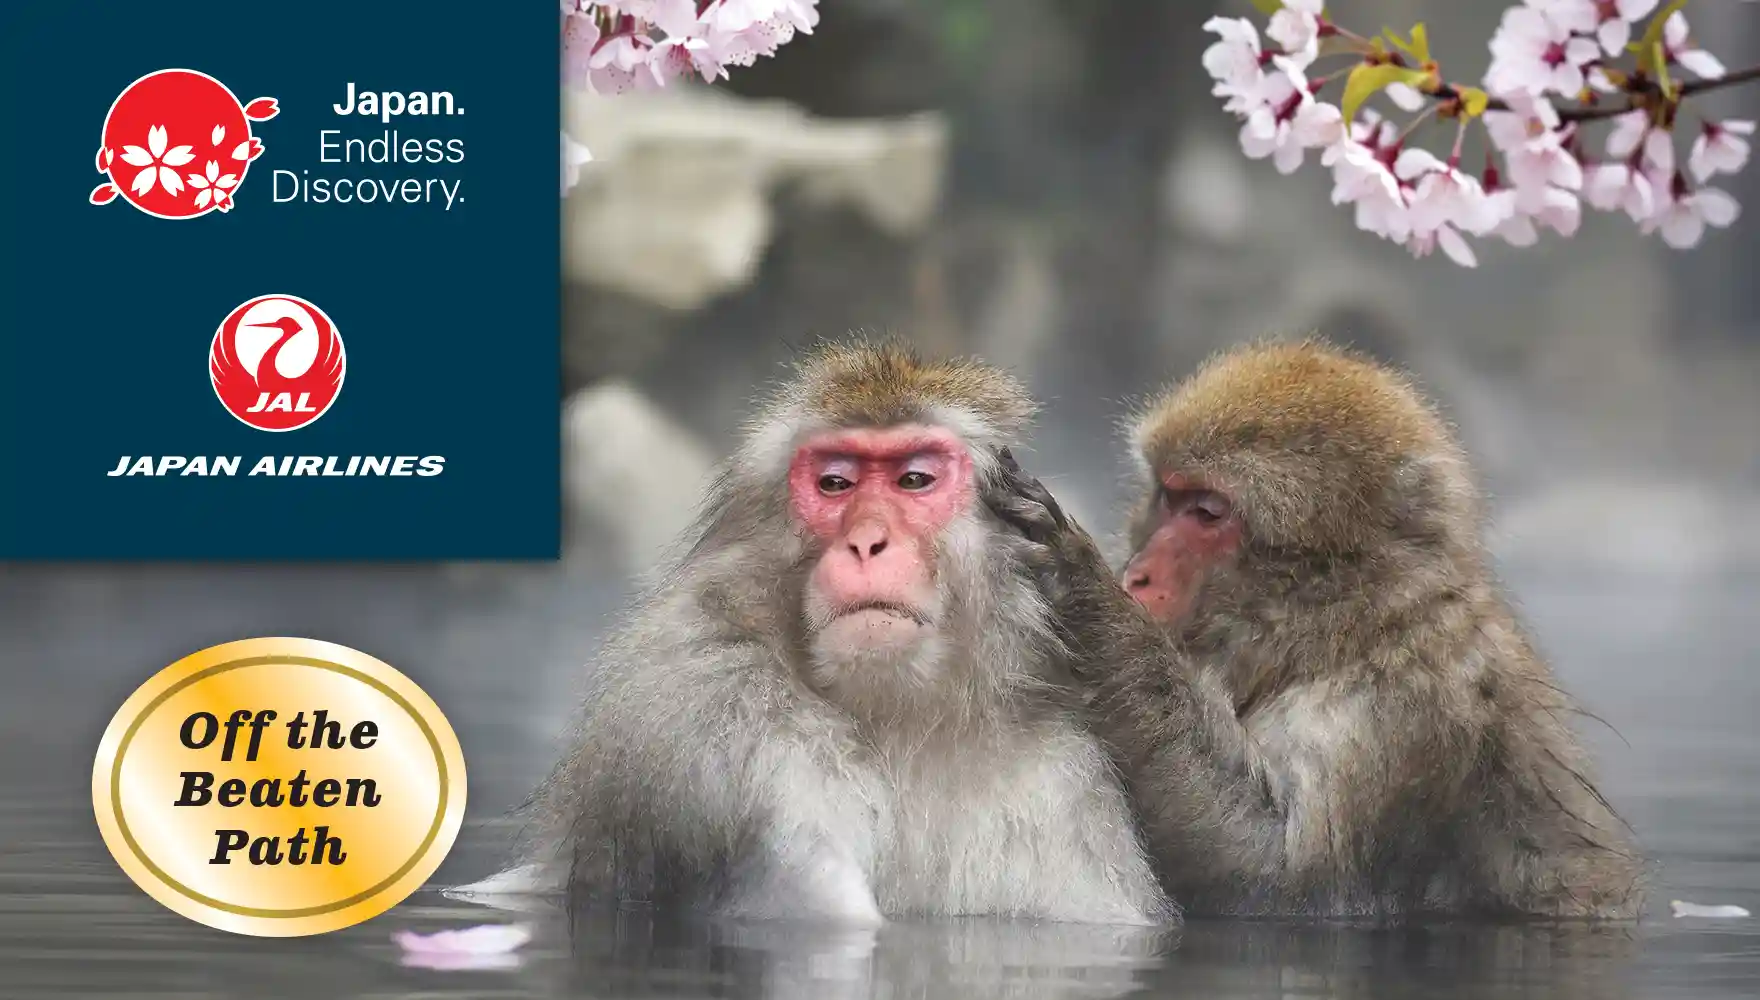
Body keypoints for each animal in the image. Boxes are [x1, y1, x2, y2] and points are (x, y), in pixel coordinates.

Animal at [520, 340, 1172, 927]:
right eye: (836, 484)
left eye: (914, 479)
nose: (866, 542)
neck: (901, 718)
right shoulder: (710, 713)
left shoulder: (1060, 782)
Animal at [985, 338, 1643, 920]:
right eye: (1170, 497)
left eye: (1208, 513)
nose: (1137, 575)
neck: (1344, 627)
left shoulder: (1405, 708)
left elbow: (1280, 877)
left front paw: (1083, 588)